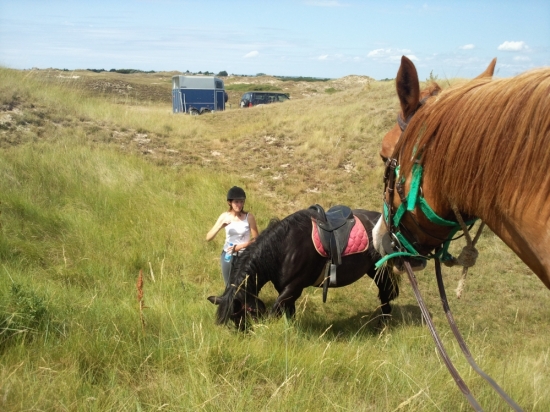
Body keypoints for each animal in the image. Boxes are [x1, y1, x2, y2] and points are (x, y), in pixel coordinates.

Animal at [209, 208, 398, 330]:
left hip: (380, 270)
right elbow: (289, 314)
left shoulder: (293, 288)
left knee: (385, 294)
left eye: (243, 314)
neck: (284, 247)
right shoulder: (287, 290)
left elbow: (274, 312)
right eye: (233, 319)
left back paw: (383, 326)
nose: (244, 333)